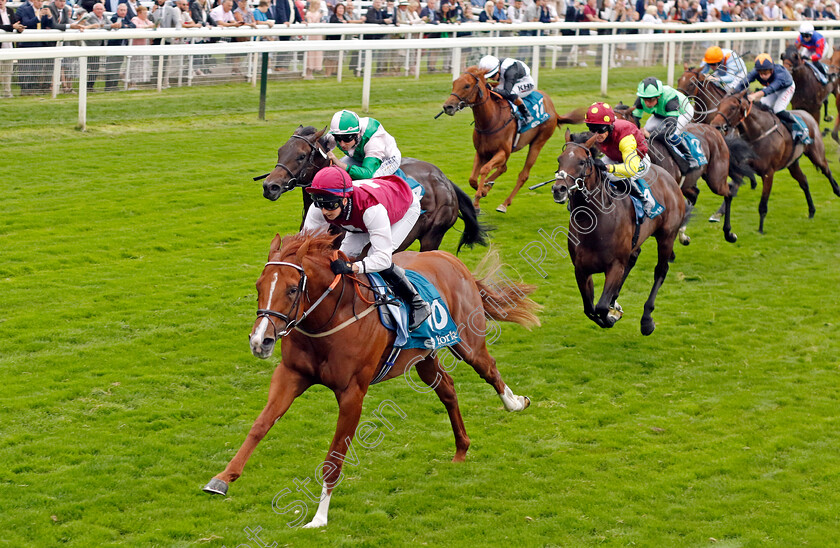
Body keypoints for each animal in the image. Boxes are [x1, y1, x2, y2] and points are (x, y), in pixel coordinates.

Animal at [205, 231, 544, 528]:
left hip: (468, 342)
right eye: (259, 285)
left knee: (489, 368)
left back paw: (515, 403)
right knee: (447, 389)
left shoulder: (352, 393)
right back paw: (461, 448)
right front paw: (222, 479)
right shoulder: (292, 374)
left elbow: (334, 457)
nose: (259, 341)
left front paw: (319, 517)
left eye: (291, 289)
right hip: (423, 356)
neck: (330, 317)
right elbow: (261, 425)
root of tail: (450, 258)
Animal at [440, 66, 584, 214]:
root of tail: (554, 111)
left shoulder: (502, 152)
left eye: (467, 86)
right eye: (454, 83)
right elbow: (473, 179)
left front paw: (479, 197)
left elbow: (484, 169)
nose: (448, 106)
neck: (491, 120)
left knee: (523, 175)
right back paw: (489, 185)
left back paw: (504, 203)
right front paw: (482, 192)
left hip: (538, 143)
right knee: (503, 168)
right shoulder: (481, 152)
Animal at [552, 132, 688, 336]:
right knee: (633, 258)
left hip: (667, 236)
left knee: (660, 271)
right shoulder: (581, 269)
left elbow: (600, 307)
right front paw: (612, 311)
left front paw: (610, 316)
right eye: (559, 159)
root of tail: (669, 177)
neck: (593, 224)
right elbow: (589, 308)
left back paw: (647, 320)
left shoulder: (615, 265)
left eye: (582, 162)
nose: (558, 189)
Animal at [708, 91, 840, 232]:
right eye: (719, 105)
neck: (757, 134)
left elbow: (763, 204)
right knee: (804, 181)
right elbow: (729, 193)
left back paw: (837, 191)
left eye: (733, 107)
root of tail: (808, 115)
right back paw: (811, 211)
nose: (715, 126)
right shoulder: (743, 169)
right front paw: (719, 216)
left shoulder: (768, 173)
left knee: (826, 170)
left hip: (816, 154)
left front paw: (760, 230)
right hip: (792, 163)